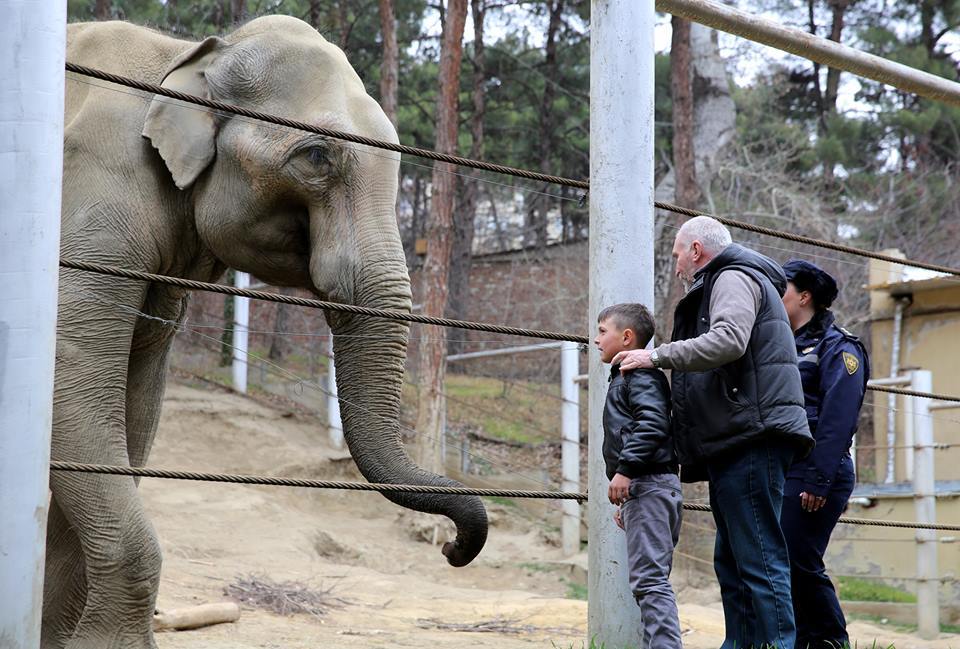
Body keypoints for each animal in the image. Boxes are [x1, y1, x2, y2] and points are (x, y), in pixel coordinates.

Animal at [49, 16, 488, 648]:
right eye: (316, 157)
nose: (453, 548)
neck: (190, 57)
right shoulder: (92, 199)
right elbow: (71, 372)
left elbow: (131, 407)